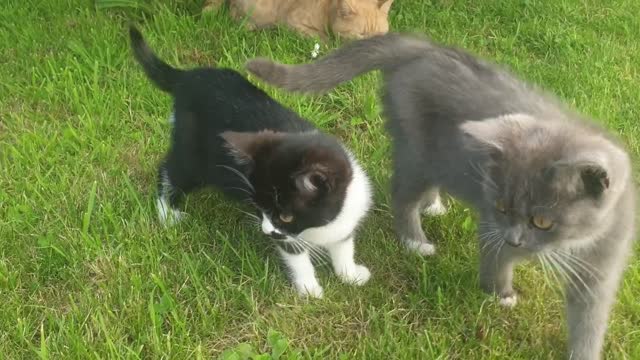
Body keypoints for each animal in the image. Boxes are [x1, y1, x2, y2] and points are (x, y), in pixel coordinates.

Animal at [127, 27, 372, 298]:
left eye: (285, 216)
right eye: (262, 208)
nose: (265, 230)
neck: (320, 226)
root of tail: (190, 77)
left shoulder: (347, 213)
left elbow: (343, 245)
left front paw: (350, 274)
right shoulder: (287, 237)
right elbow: (296, 255)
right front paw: (309, 288)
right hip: (195, 152)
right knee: (172, 170)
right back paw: (167, 212)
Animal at [245, 33, 636, 358]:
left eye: (542, 220)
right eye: (502, 207)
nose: (515, 239)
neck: (571, 242)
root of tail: (424, 48)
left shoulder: (606, 255)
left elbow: (591, 313)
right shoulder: (492, 224)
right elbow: (494, 258)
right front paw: (501, 295)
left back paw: (433, 205)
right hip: (417, 149)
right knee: (402, 194)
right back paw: (416, 241)